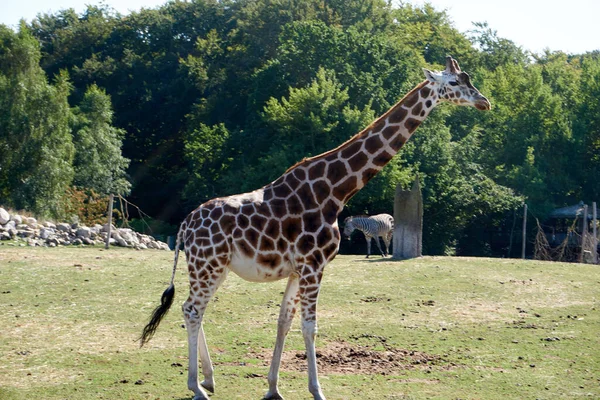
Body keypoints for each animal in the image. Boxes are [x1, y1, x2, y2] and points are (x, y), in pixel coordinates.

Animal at [143, 56, 490, 400]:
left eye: (469, 79)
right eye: (455, 82)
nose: (484, 102)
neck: (335, 190)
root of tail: (185, 226)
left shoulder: (298, 268)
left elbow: (284, 321)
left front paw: (273, 388)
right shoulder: (314, 264)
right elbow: (309, 326)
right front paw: (317, 391)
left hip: (216, 267)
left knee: (194, 310)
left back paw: (208, 380)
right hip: (207, 264)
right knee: (192, 310)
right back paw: (196, 387)